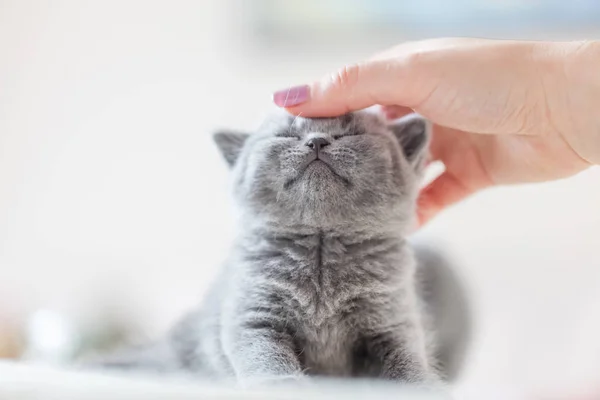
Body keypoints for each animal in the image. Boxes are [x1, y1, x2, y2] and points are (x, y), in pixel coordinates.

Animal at [92, 108, 468, 384]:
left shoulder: (393, 322)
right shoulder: (253, 316)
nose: (317, 141)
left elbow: (407, 363)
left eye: (350, 133)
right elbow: (267, 361)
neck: (321, 253)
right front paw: (286, 387)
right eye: (286, 135)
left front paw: (422, 386)